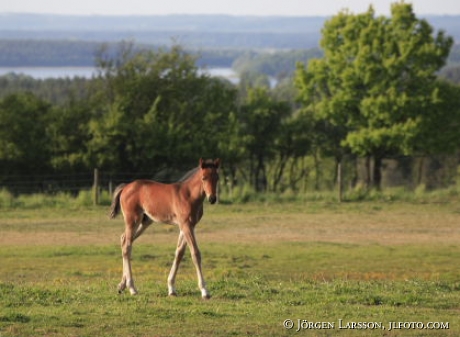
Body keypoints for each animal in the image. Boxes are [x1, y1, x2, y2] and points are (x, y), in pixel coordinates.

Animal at [109, 158, 221, 296]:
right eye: (204, 178)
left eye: (217, 178)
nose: (212, 198)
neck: (189, 196)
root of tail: (126, 187)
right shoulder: (186, 225)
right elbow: (195, 253)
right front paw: (204, 290)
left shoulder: (187, 226)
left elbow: (179, 253)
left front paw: (171, 288)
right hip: (132, 220)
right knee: (127, 246)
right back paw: (132, 288)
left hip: (144, 222)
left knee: (124, 239)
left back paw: (122, 285)